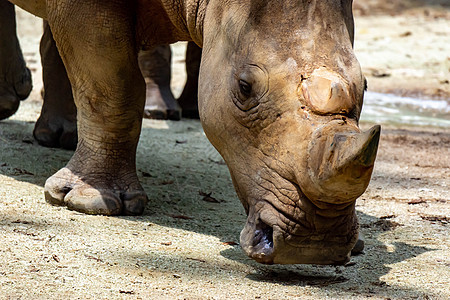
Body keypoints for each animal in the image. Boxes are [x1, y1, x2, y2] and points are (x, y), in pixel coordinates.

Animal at [8, 0, 378, 264]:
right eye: (244, 88)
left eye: (365, 87)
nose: (314, 246)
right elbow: (113, 86)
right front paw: (91, 204)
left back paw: (59, 138)